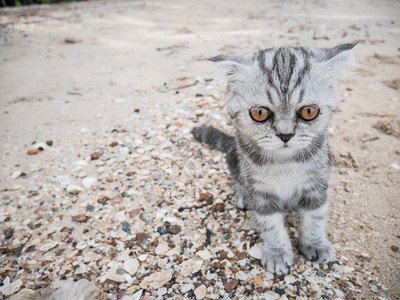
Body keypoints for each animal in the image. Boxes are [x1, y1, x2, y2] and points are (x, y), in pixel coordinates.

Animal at [192, 43, 354, 276]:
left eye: (309, 111)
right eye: (260, 113)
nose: (285, 135)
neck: (285, 163)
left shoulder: (317, 185)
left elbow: (315, 217)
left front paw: (315, 243)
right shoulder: (261, 192)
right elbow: (271, 225)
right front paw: (277, 253)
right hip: (234, 157)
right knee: (238, 180)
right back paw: (243, 196)